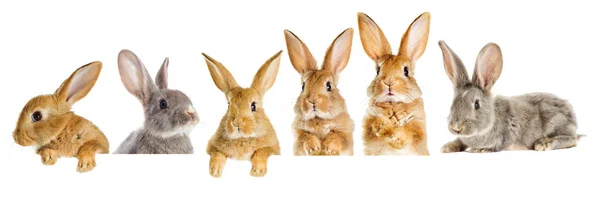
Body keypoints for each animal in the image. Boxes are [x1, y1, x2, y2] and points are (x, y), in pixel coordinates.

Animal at [284, 28, 354, 156]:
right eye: (303, 86)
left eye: (329, 86)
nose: (313, 100)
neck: (319, 119)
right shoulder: (299, 134)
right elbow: (306, 137)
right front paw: (314, 148)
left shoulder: (345, 133)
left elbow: (337, 136)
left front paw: (329, 148)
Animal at [356, 11, 432, 155]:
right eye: (378, 70)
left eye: (406, 71)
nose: (389, 83)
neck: (393, 104)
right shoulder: (369, 120)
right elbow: (372, 125)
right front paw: (381, 125)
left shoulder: (418, 123)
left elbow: (410, 131)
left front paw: (396, 138)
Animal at [436, 40, 580, 154]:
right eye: (452, 104)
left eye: (477, 104)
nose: (456, 127)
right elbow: (460, 141)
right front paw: (447, 147)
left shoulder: (505, 135)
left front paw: (479, 149)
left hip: (554, 121)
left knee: (572, 139)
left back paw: (544, 143)